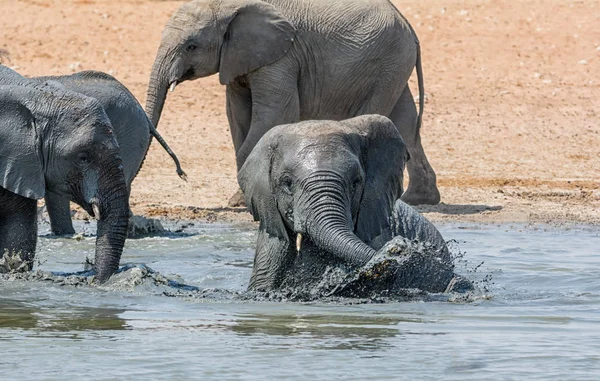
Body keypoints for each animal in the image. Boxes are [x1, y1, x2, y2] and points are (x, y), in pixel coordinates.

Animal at [146, 0, 440, 205]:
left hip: (385, 62)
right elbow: (237, 115)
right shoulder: (239, 59)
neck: (227, 6)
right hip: (393, 65)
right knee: (405, 121)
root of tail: (408, 24)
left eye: (191, 46)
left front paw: (239, 201)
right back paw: (418, 199)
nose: (182, 174)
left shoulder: (282, 57)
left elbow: (275, 113)